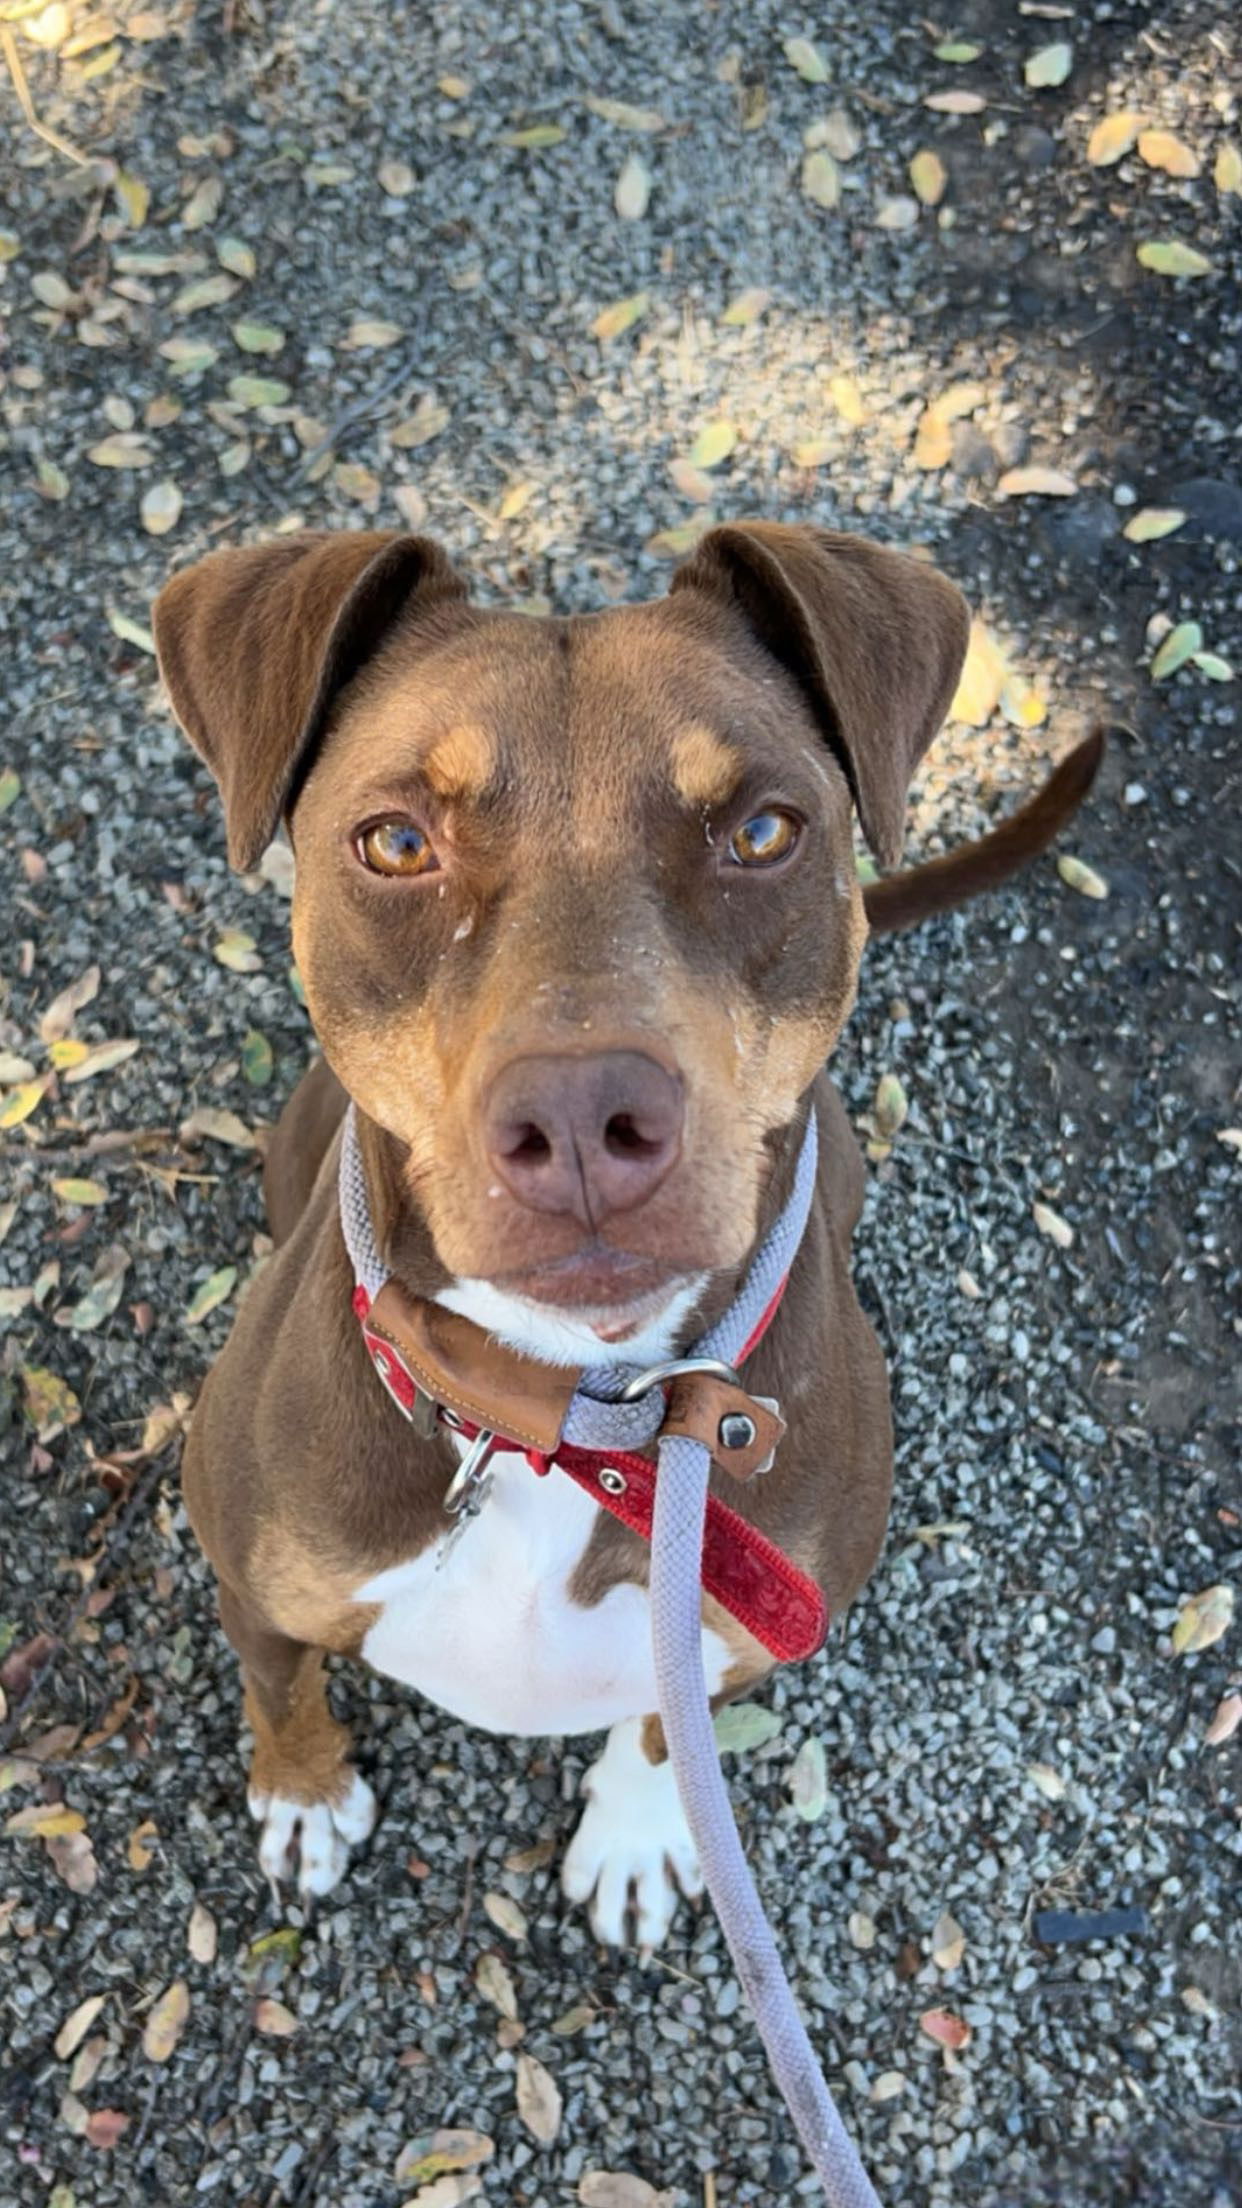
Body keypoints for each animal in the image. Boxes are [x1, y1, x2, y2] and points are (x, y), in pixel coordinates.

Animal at [152, 521, 1091, 1934]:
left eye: (762, 830)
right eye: (394, 842)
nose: (584, 1112)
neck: (569, 1417)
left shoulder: (733, 1637)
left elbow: (662, 1723)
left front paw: (644, 1837)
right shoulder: (255, 1588)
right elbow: (281, 1683)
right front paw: (305, 1794)